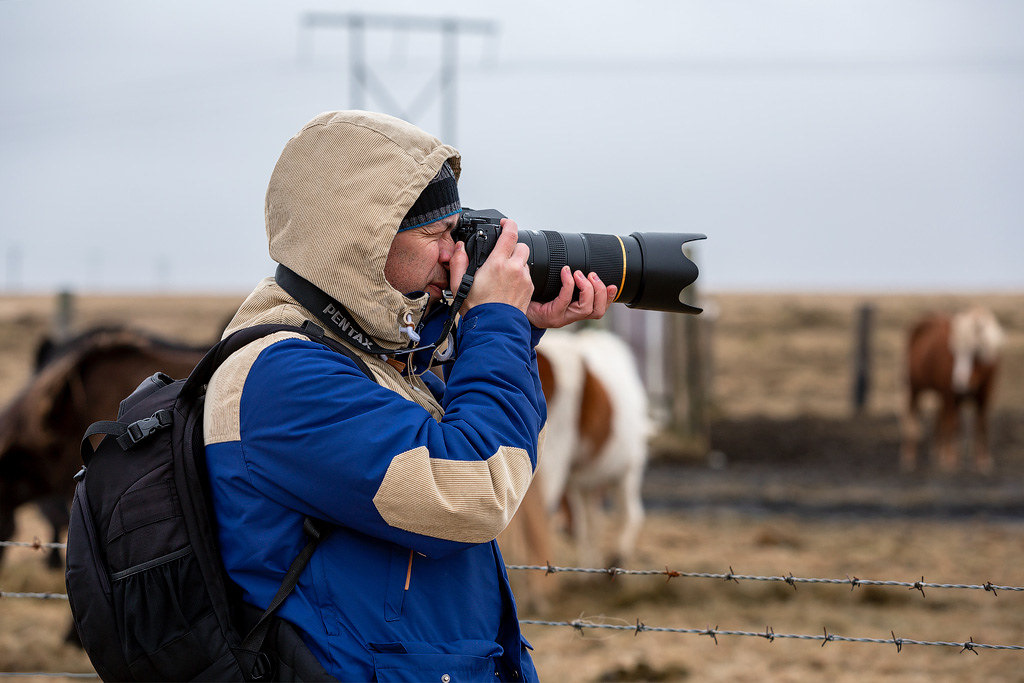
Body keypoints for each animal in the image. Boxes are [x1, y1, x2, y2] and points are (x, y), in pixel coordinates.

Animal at [901, 309, 1003, 475]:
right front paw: (950, 459)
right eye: (954, 351)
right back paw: (909, 457)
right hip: (914, 388)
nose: (959, 380)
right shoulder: (950, 395)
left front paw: (983, 461)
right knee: (912, 417)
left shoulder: (984, 395)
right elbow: (952, 424)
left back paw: (936, 453)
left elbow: (980, 424)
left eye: (976, 351)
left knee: (939, 418)